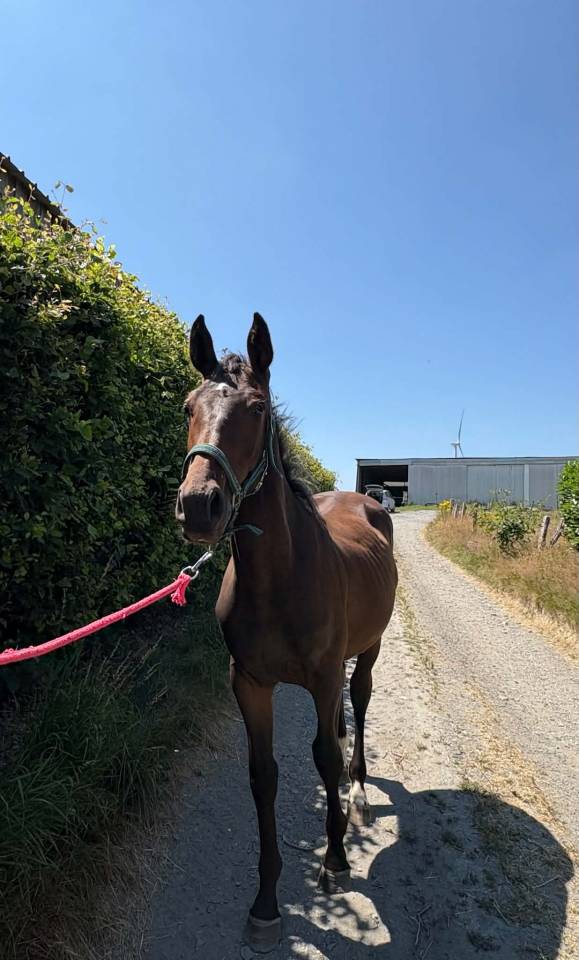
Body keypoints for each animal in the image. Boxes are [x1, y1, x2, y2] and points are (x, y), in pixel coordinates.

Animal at [175, 313, 397, 951]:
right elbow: (264, 776)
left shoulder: (322, 678)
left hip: (368, 650)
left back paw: (357, 794)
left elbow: (322, 756)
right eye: (188, 406)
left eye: (256, 408)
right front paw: (267, 902)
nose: (199, 506)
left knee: (358, 709)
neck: (279, 580)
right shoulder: (249, 683)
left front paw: (335, 860)